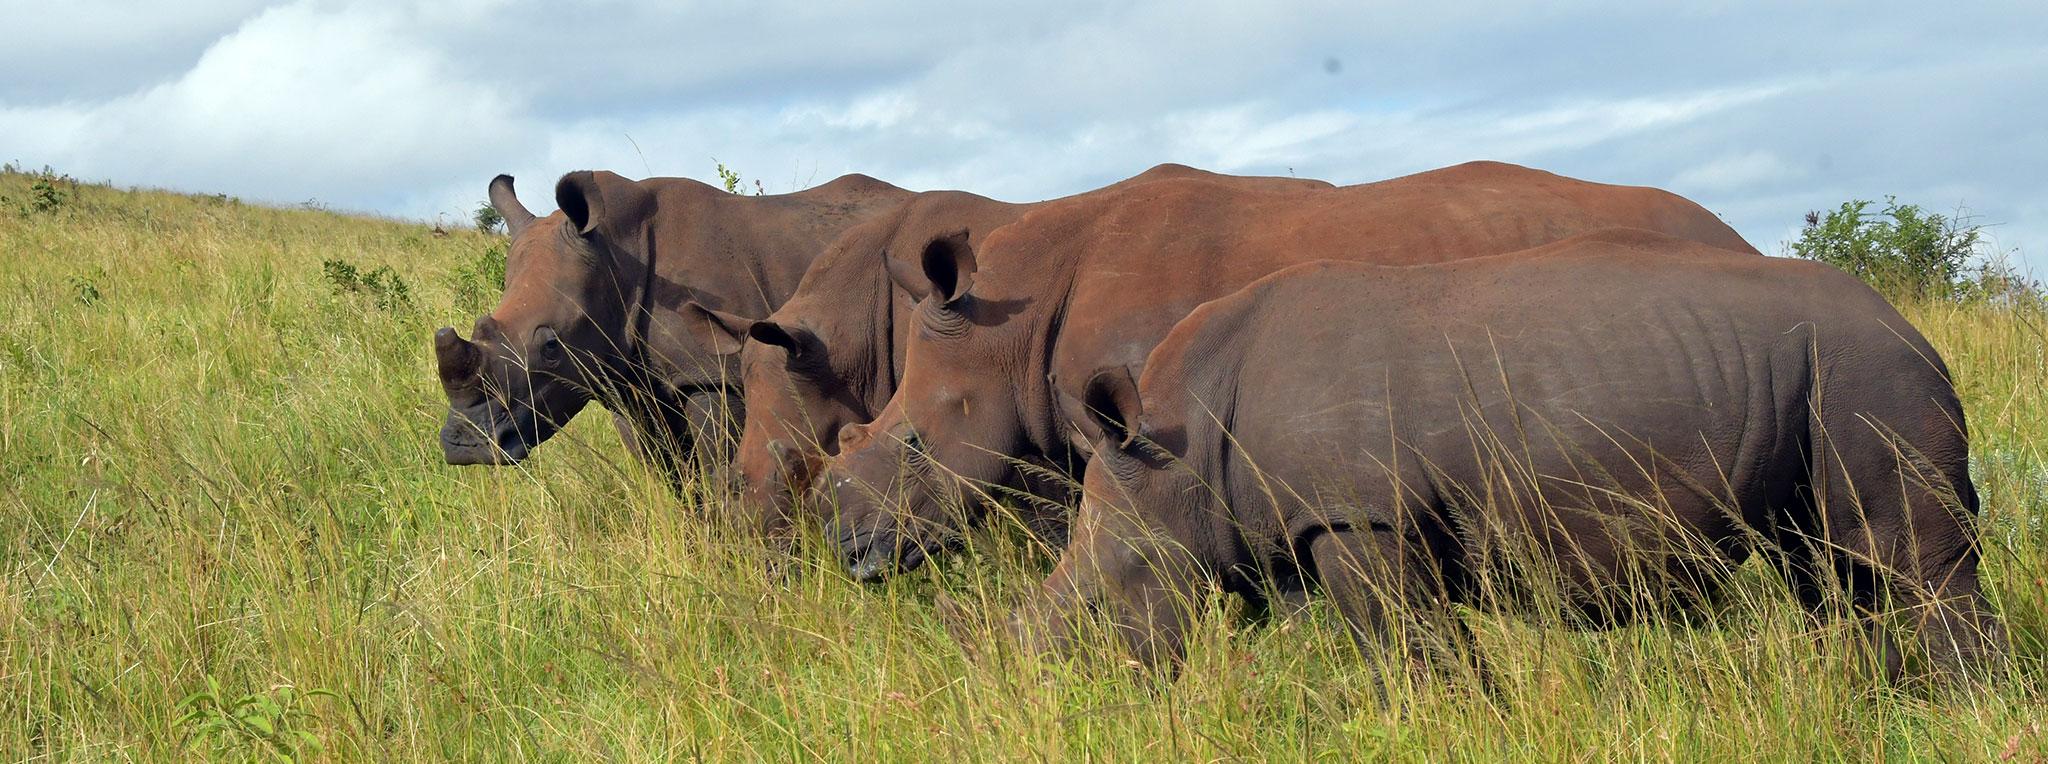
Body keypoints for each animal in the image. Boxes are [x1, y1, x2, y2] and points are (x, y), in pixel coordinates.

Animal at [433, 171, 909, 484]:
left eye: (551, 346)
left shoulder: (713, 374)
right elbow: (672, 480)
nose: (465, 446)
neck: (616, 253)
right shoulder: (624, 379)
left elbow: (718, 471)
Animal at [1019, 229, 2004, 681]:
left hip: (1872, 371)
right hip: (1820, 376)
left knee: (1907, 556)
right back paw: (1879, 699)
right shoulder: (1297, 525)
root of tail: (1913, 324)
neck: (1177, 442)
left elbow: (1411, 644)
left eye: (1104, 600)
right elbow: (1357, 652)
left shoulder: (1361, 514)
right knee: (1830, 566)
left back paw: (1966, 706)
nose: (1059, 683)